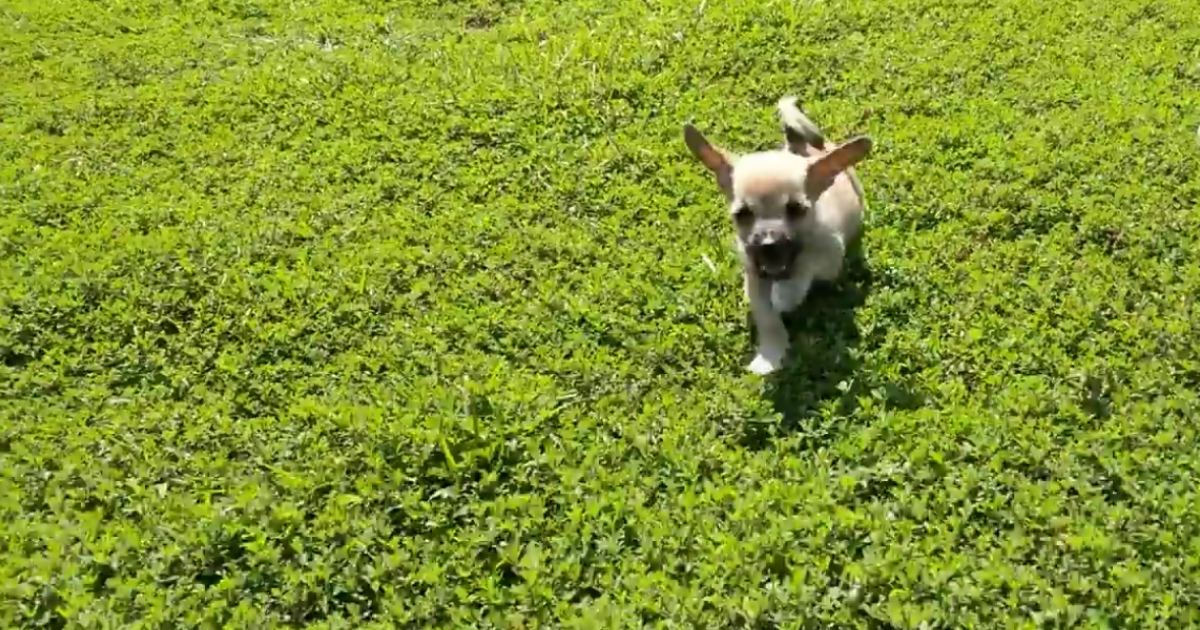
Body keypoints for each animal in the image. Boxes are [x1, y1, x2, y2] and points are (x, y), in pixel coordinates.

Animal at [686, 96, 873, 376]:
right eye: (742, 214)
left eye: (796, 210)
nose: (768, 243)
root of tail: (804, 148)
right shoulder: (754, 279)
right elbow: (767, 319)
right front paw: (771, 354)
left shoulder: (830, 260)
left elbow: (805, 264)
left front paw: (786, 294)